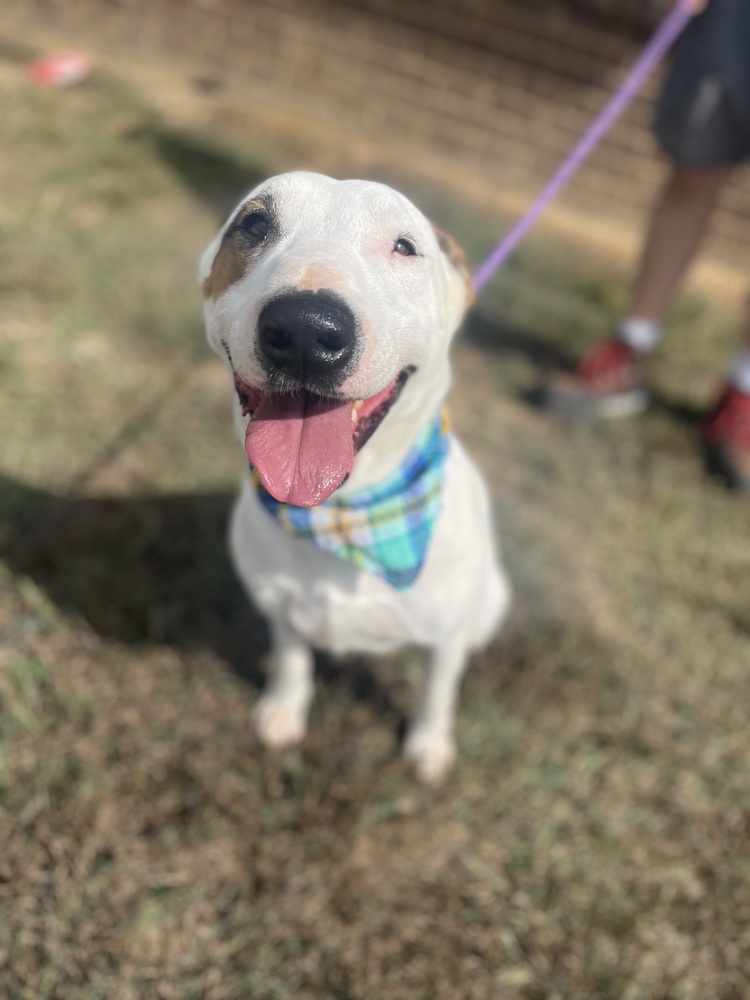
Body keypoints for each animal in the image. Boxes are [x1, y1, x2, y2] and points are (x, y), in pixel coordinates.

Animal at [201, 172, 512, 780]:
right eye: (254, 224)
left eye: (405, 246)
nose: (305, 330)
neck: (347, 515)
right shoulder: (281, 607)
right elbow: (291, 660)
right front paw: (283, 712)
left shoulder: (445, 637)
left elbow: (437, 691)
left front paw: (428, 747)